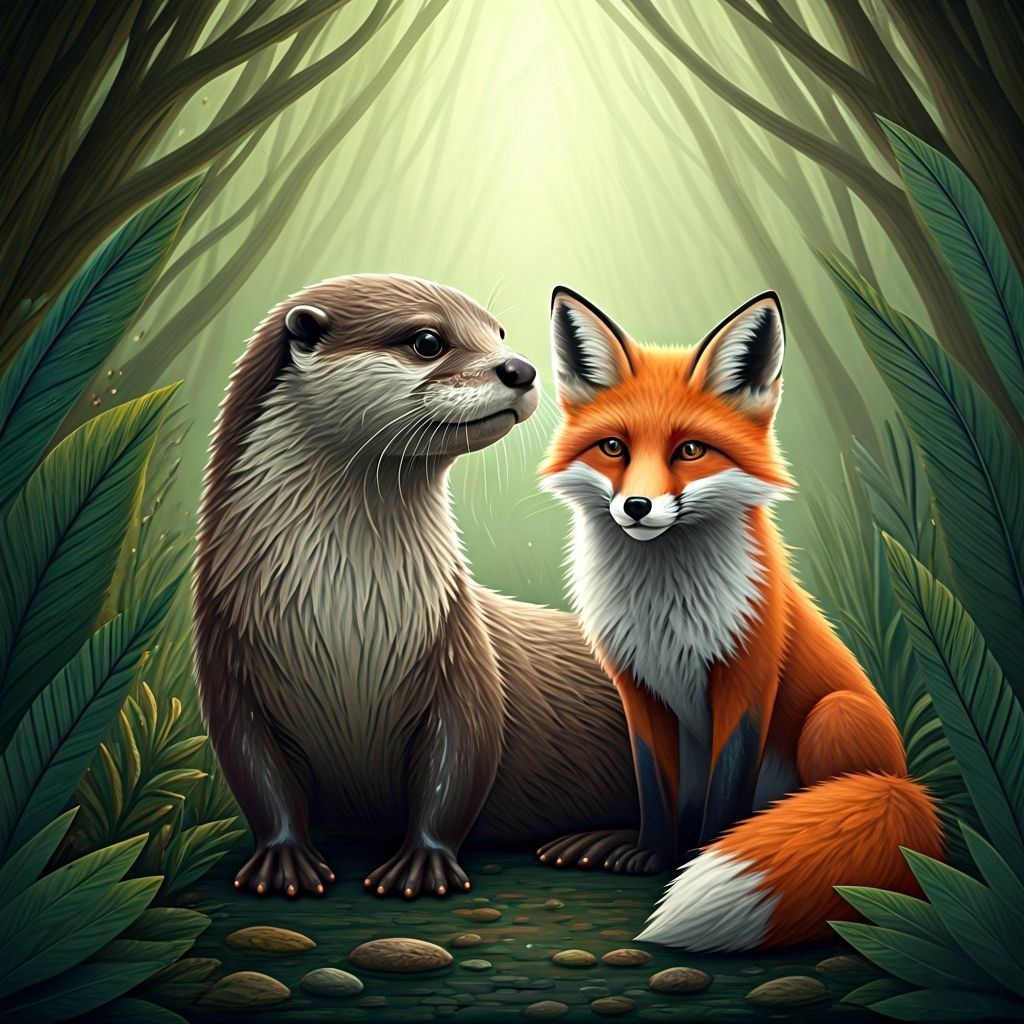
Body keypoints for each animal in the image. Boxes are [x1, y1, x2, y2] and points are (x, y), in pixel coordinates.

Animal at [194, 274, 638, 898]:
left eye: (499, 331)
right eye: (427, 341)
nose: (521, 368)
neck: (344, 620)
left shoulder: (460, 653)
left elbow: (457, 766)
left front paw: (422, 866)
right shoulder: (227, 663)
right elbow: (256, 774)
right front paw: (282, 861)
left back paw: (603, 845)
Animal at [537, 286, 944, 951]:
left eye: (690, 450)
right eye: (614, 447)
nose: (637, 506)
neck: (663, 607)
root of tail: (905, 784)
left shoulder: (745, 678)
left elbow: (727, 792)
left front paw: (701, 854)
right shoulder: (638, 685)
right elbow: (654, 785)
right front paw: (652, 853)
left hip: (835, 716)